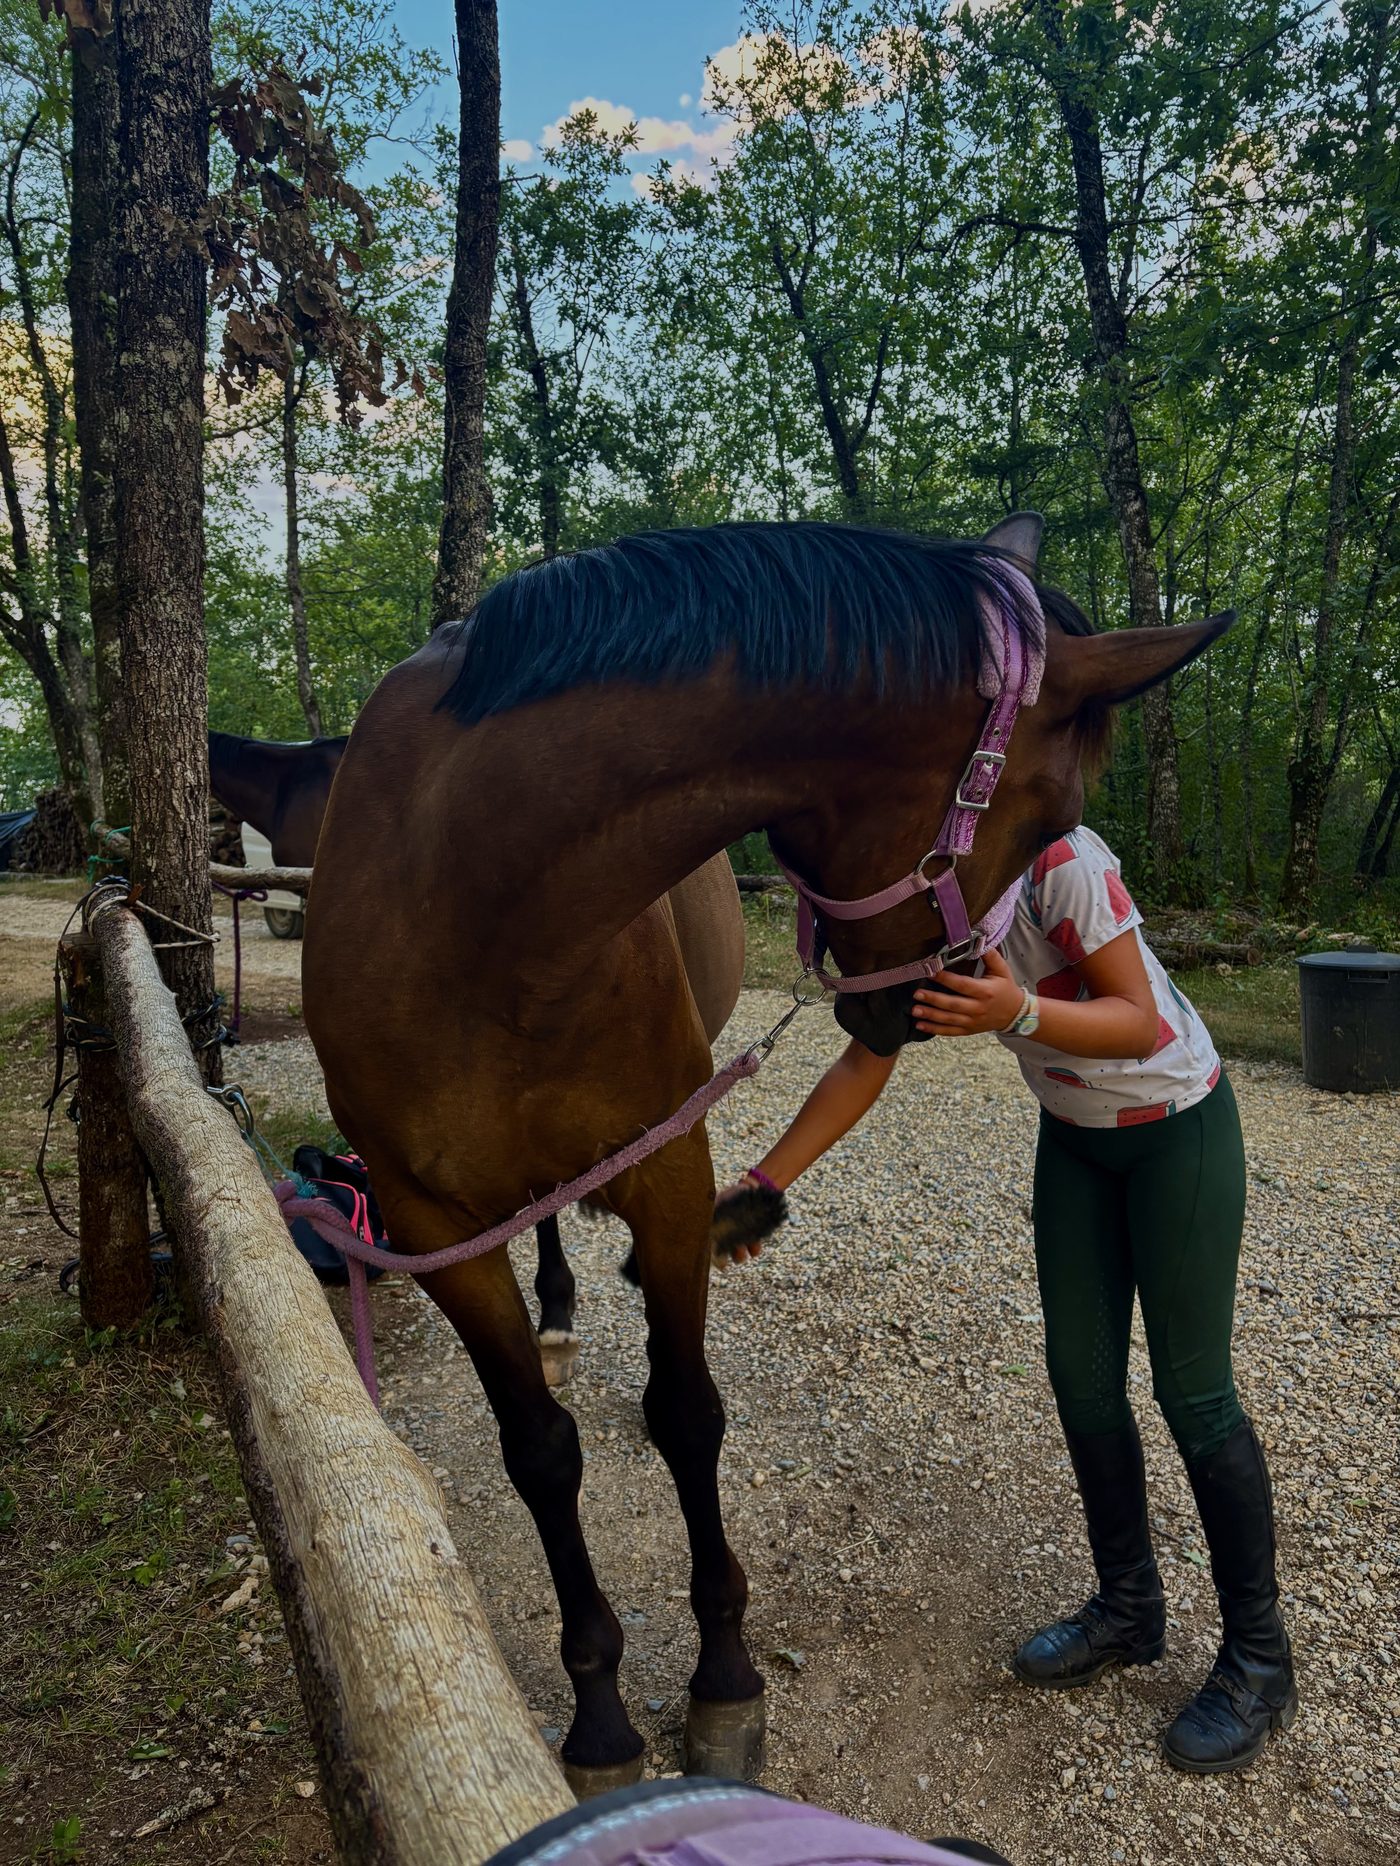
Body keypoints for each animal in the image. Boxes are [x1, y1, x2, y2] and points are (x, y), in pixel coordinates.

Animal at [301, 514, 1232, 1794]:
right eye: (1052, 815)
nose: (916, 1008)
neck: (474, 909)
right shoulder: (435, 1227)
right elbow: (538, 1454)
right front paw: (599, 1718)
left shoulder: (667, 1177)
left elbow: (686, 1413)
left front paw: (723, 1682)